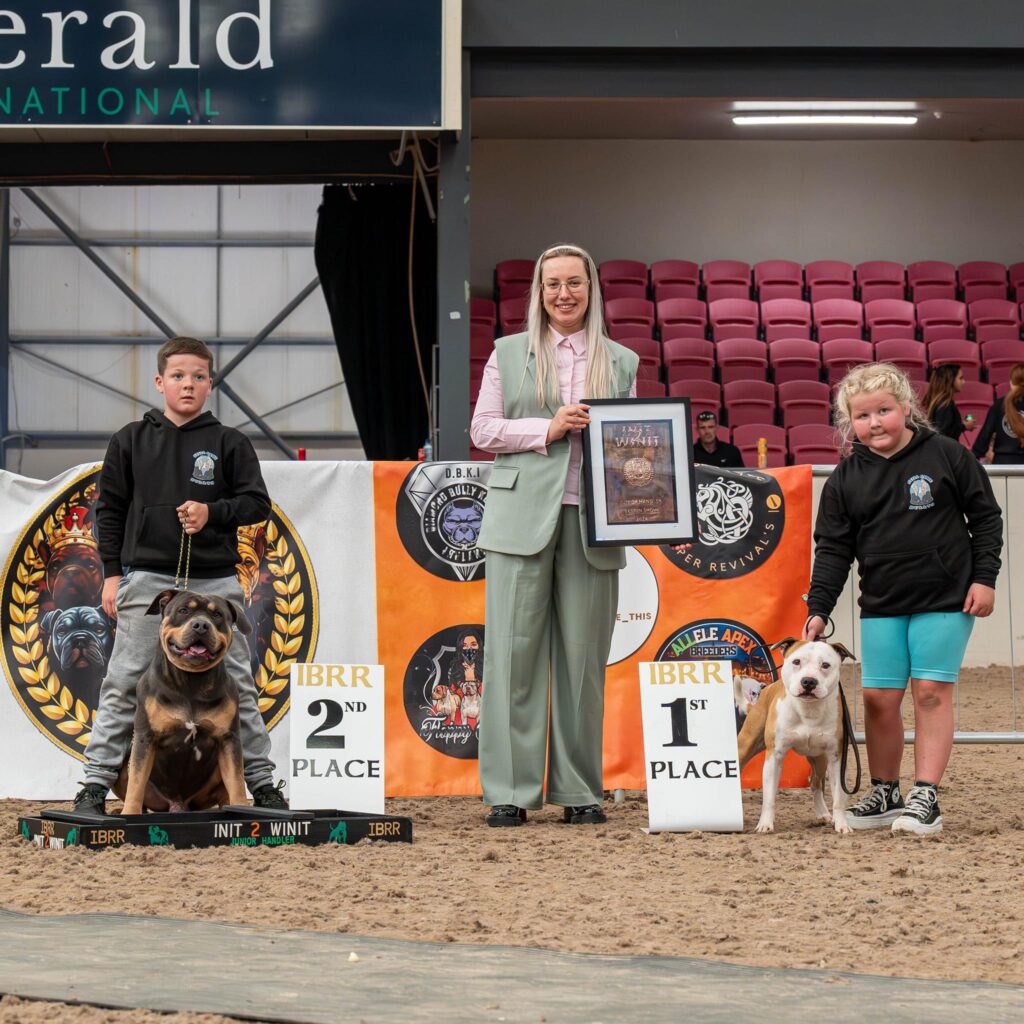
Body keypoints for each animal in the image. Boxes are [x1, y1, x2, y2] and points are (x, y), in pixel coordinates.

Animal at [115, 589, 250, 811]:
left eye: (217, 615)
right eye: (183, 610)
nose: (201, 625)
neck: (191, 681)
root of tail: (178, 804)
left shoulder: (229, 739)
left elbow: (237, 783)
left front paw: (241, 808)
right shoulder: (145, 738)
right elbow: (136, 783)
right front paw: (130, 812)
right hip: (122, 772)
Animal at [737, 638, 856, 831]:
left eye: (825, 665)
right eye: (796, 661)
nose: (808, 681)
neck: (808, 710)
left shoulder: (836, 758)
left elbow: (839, 798)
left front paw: (842, 825)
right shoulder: (774, 756)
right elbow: (769, 797)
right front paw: (765, 824)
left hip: (820, 759)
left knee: (815, 783)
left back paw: (823, 813)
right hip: (745, 744)